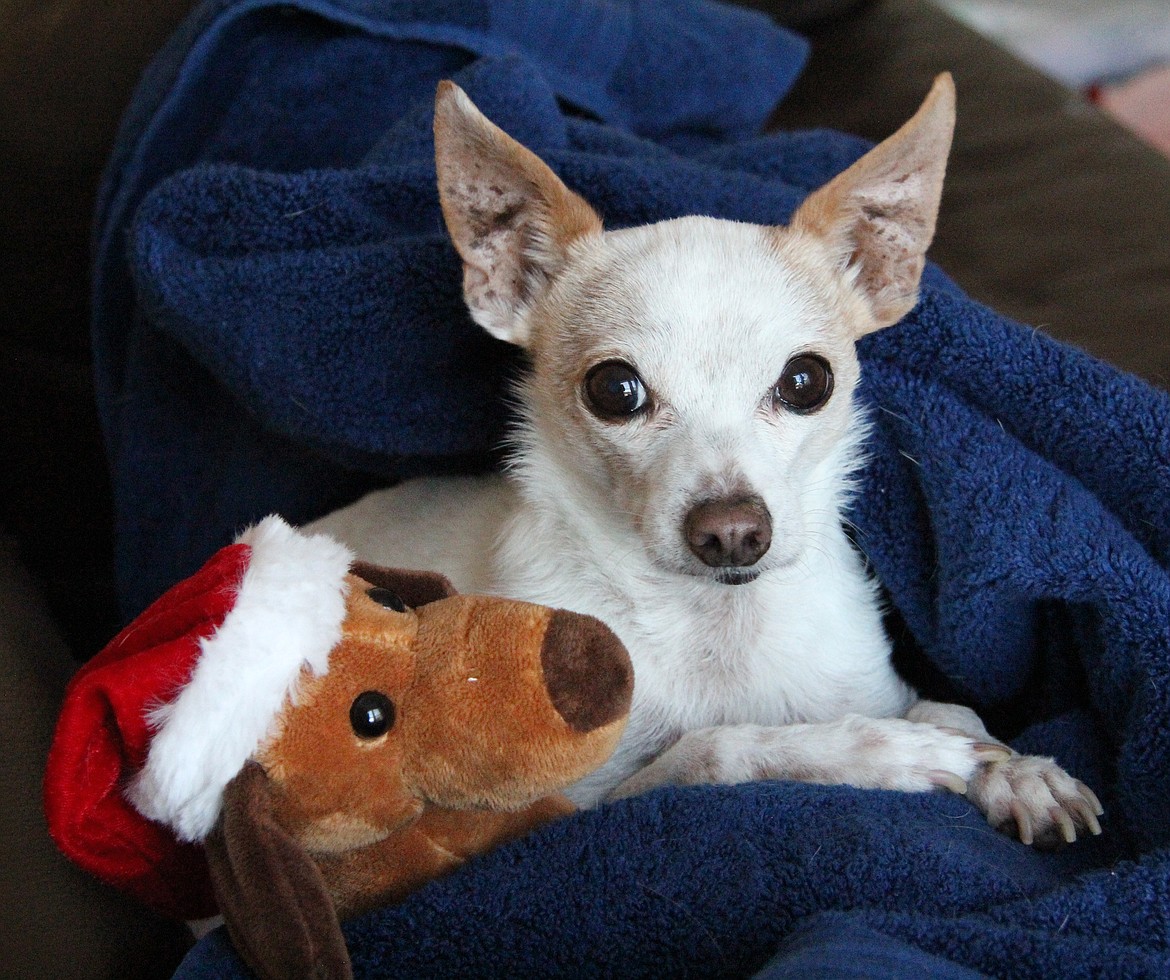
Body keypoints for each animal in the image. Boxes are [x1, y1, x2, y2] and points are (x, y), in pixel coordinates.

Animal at [306, 74, 1099, 842]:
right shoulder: (568, 813)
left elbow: (951, 711)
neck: (719, 627)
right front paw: (877, 751)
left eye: (806, 382)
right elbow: (716, 747)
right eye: (614, 390)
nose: (732, 531)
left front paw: (1018, 768)